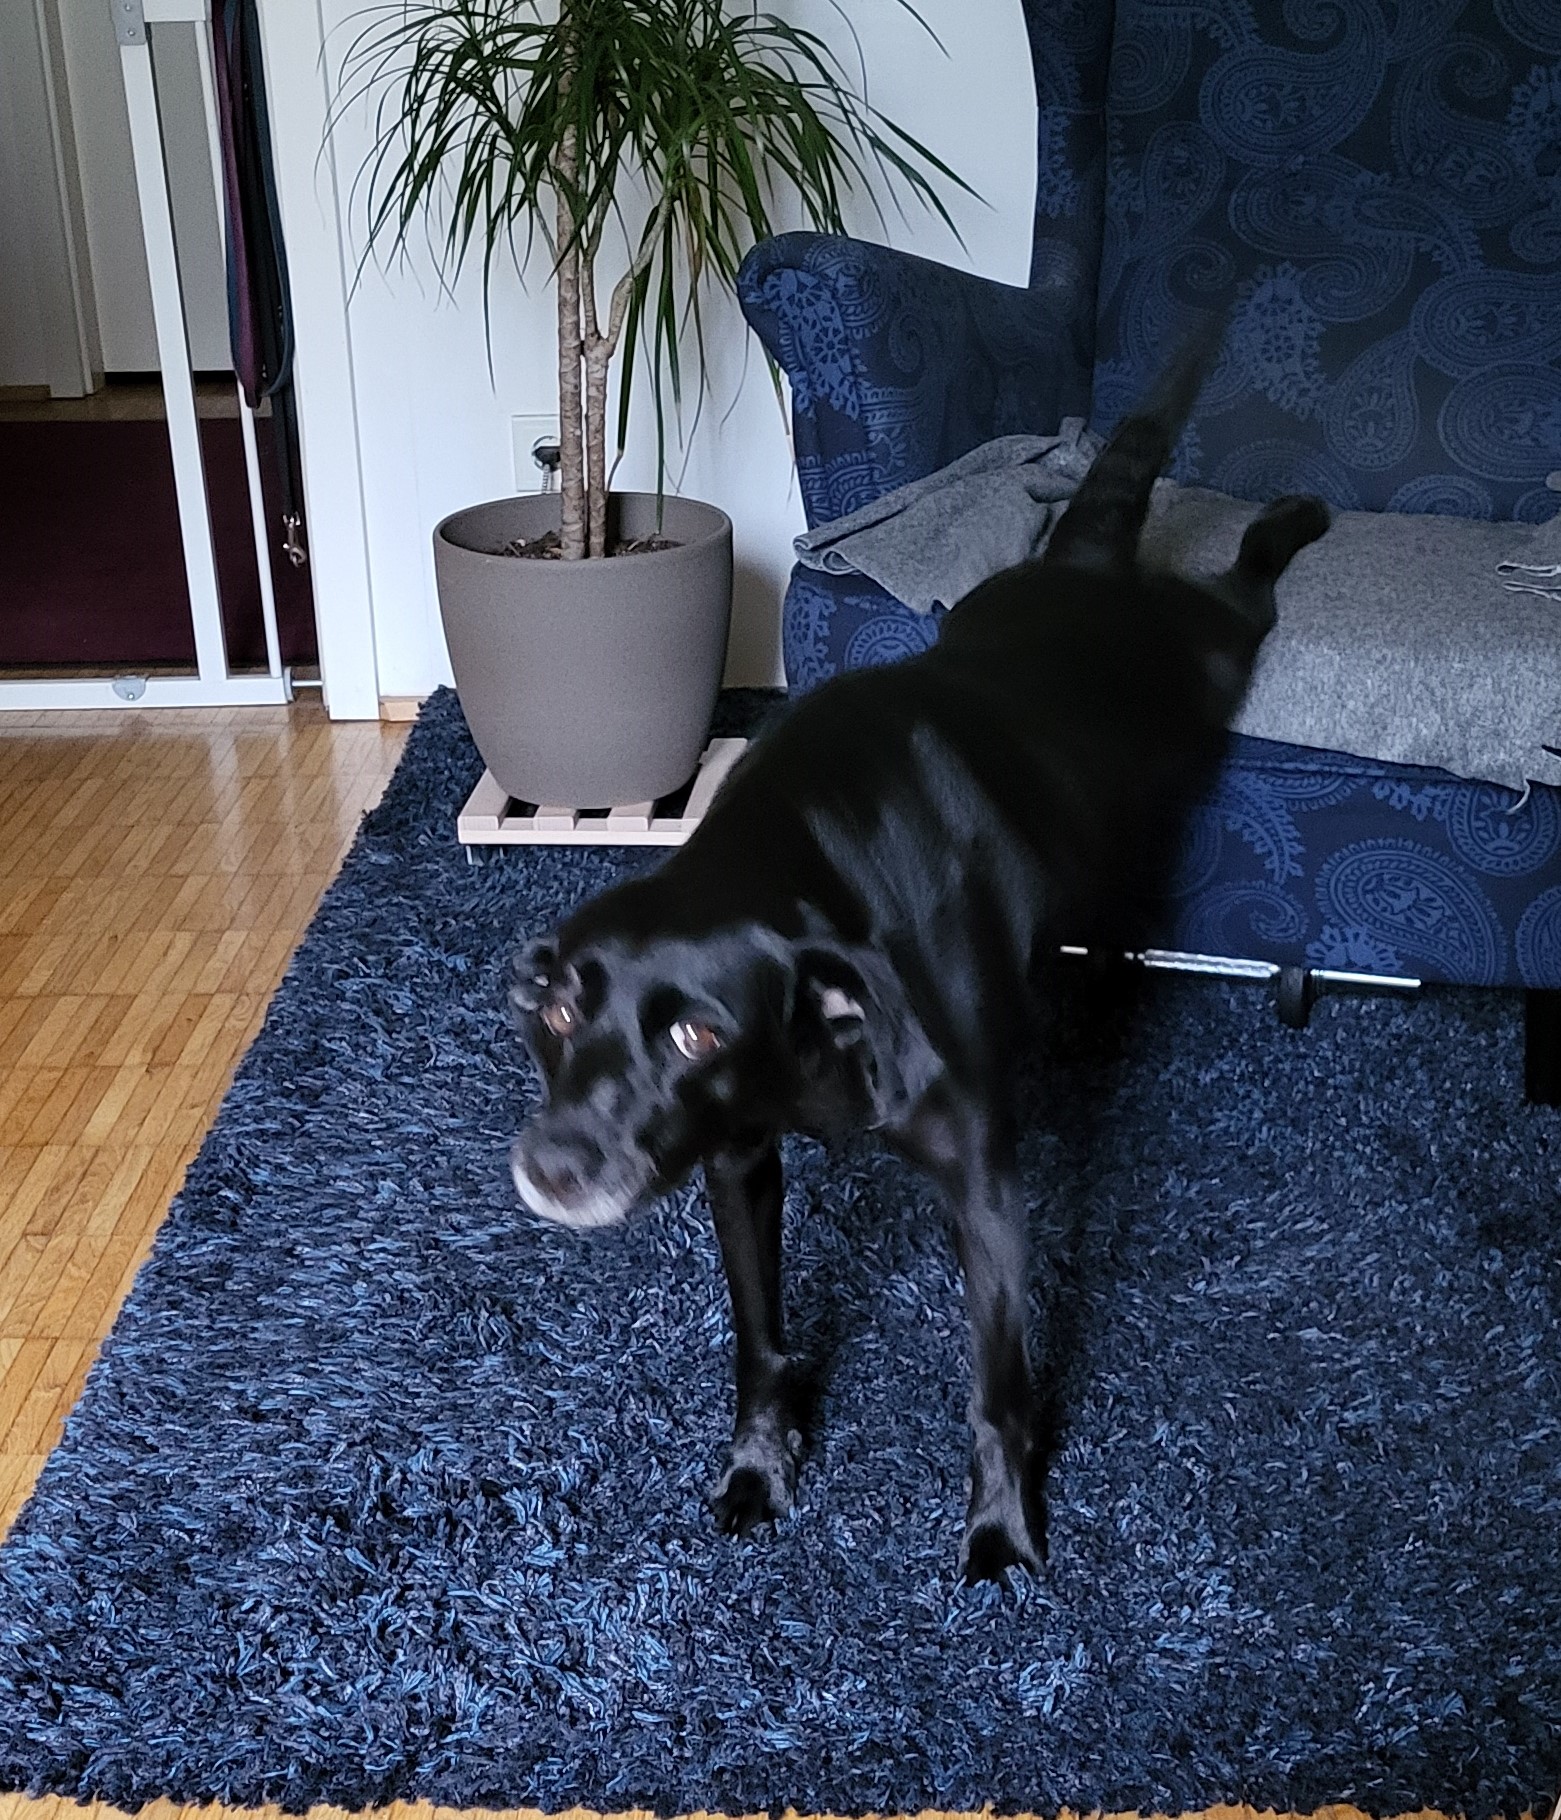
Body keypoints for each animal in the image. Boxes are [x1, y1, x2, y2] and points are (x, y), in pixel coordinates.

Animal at [508, 325, 1330, 1581]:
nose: (551, 1167)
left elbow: (996, 1384)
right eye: (556, 1014)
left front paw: (1001, 1531)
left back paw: (1293, 515)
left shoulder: (984, 1187)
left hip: (1212, 657)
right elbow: (758, 1338)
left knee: (1242, 583)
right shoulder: (737, 1161)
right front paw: (761, 1467)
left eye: (694, 1030)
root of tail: (1077, 564)